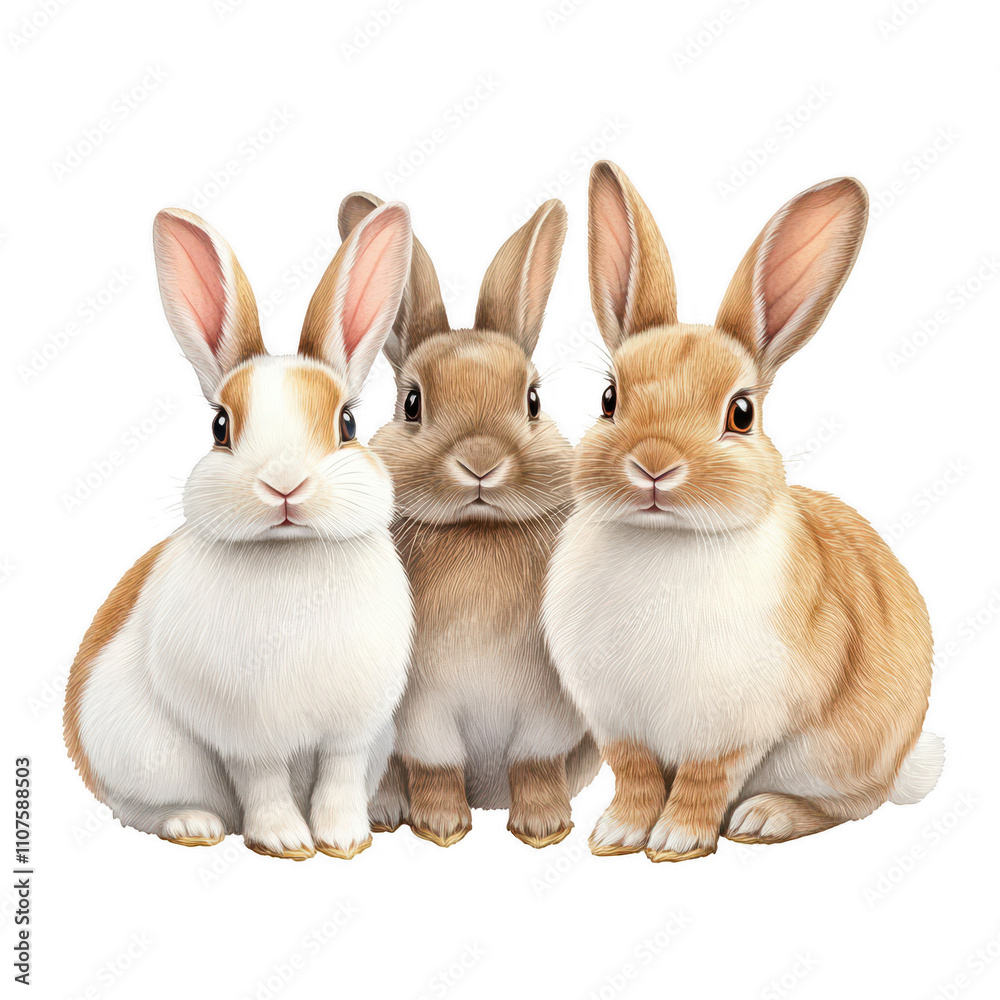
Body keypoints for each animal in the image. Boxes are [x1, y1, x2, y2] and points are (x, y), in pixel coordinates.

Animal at [63, 201, 415, 861]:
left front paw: (344, 839)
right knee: (142, 808)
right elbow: (265, 780)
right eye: (220, 426)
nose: (284, 484)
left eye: (347, 423)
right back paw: (193, 826)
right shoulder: (245, 733)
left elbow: (339, 774)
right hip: (139, 756)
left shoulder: (354, 729)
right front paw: (285, 841)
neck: (291, 556)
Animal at [336, 192, 600, 849]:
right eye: (411, 404)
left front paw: (543, 827)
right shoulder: (422, 710)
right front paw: (442, 827)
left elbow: (534, 764)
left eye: (533, 400)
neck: (477, 535)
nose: (480, 462)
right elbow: (437, 765)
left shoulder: (549, 710)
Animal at [542, 161, 944, 863]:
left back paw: (765, 817)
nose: (653, 465)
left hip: (835, 756)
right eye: (609, 398)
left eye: (741, 413)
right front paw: (617, 835)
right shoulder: (618, 722)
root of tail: (904, 762)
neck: (665, 540)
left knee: (851, 806)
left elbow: (704, 781)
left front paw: (676, 841)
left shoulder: (731, 725)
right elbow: (636, 775)